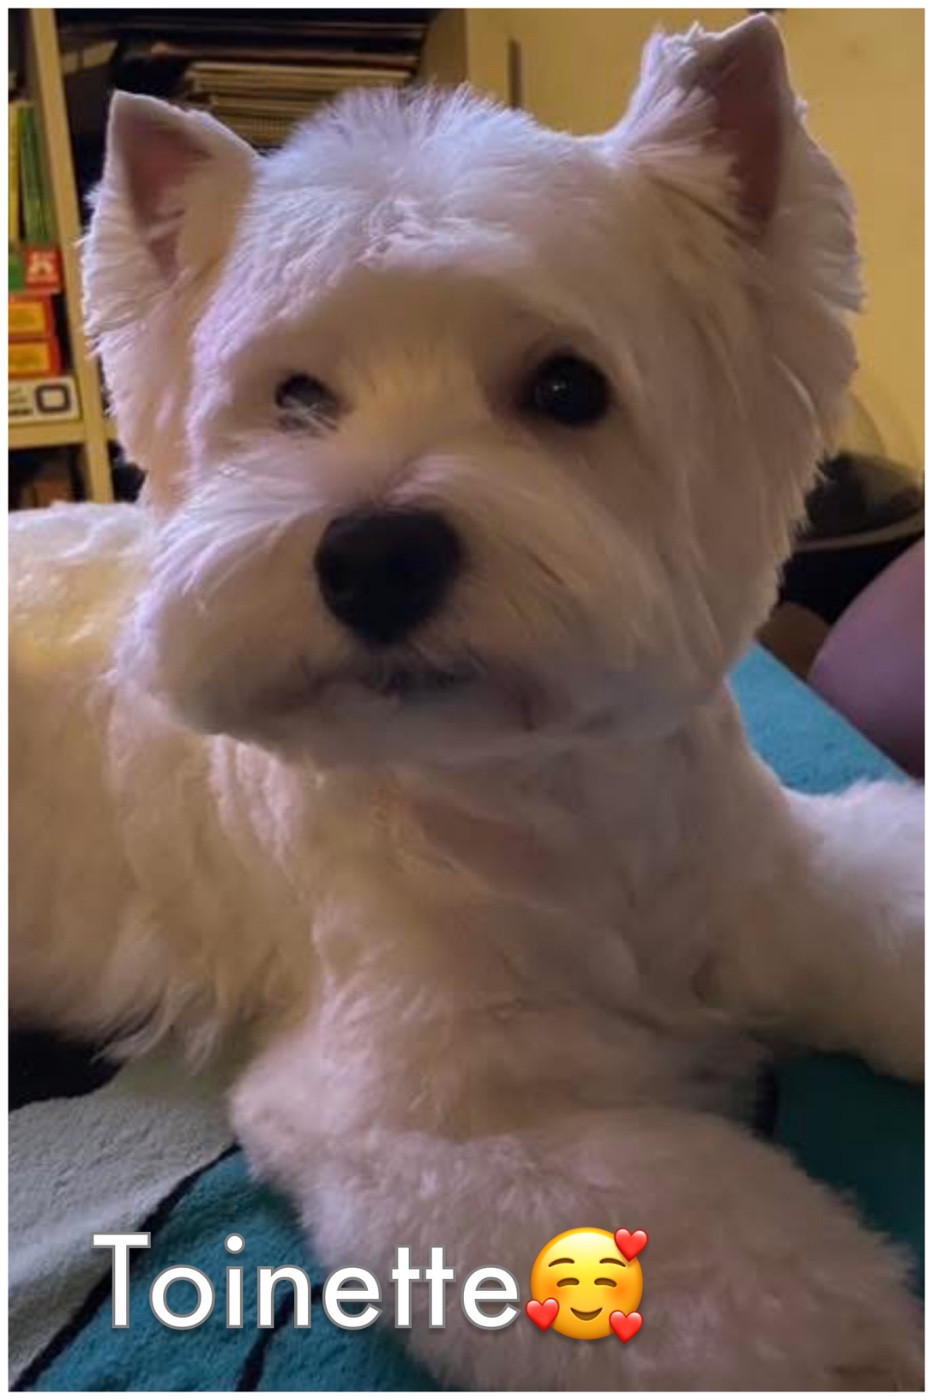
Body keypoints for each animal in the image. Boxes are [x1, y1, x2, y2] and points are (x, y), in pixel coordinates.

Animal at [10, 15, 923, 1389]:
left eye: (568, 388)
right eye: (294, 395)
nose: (374, 555)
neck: (546, 784)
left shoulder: (786, 890)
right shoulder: (451, 1114)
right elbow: (739, 1285)